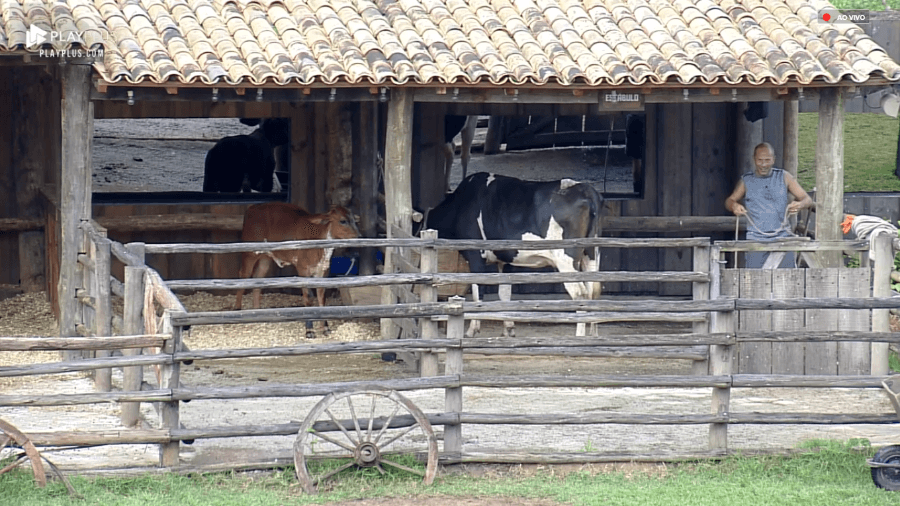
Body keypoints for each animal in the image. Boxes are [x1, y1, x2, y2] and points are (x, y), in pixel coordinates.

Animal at [234, 202, 360, 338]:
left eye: (355, 220)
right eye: (343, 221)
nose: (359, 236)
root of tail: (251, 207)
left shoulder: (323, 271)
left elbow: (321, 298)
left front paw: (325, 328)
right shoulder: (303, 269)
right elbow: (308, 297)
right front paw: (309, 330)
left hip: (265, 258)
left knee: (257, 279)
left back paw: (257, 313)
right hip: (249, 254)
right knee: (243, 276)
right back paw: (237, 309)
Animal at [423, 172, 603, 337]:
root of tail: (585, 190)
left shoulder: (475, 256)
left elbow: (477, 292)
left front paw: (472, 330)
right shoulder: (506, 259)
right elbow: (504, 293)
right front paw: (508, 328)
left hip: (566, 258)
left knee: (580, 293)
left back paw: (579, 335)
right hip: (591, 254)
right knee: (593, 290)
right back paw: (593, 334)